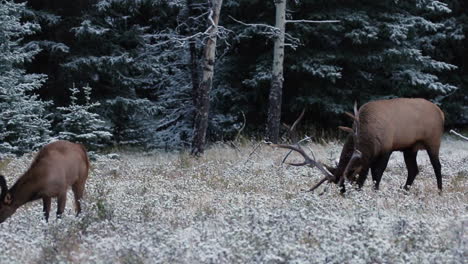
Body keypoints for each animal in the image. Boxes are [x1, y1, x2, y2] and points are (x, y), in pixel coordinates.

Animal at [274, 98, 446, 193]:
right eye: (340, 188)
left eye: (347, 184)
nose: (344, 195)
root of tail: (441, 112)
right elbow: (371, 172)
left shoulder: (387, 148)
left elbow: (377, 173)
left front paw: (374, 191)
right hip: (410, 148)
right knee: (413, 170)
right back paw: (404, 191)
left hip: (433, 140)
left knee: (437, 166)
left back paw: (439, 191)